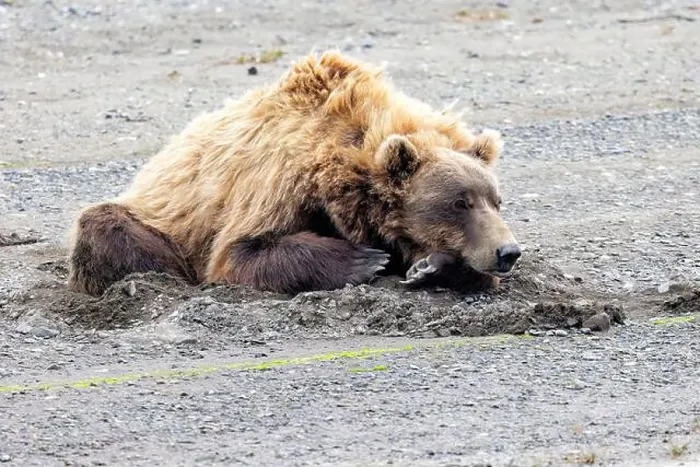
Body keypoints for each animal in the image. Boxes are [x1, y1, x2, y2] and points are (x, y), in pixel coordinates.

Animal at [67, 50, 521, 297]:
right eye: (459, 202)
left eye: (496, 200)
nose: (508, 252)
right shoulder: (277, 180)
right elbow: (238, 254)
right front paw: (366, 260)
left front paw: (432, 266)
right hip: (157, 219)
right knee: (106, 227)